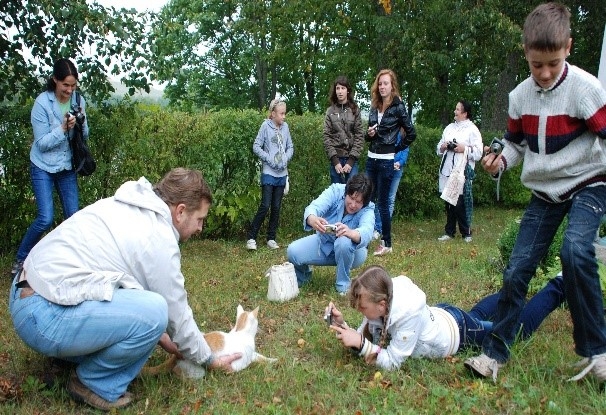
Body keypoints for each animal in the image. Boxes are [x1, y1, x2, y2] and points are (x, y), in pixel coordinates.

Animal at [144, 304, 276, 378]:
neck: (240, 330)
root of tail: (176, 355)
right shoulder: (250, 357)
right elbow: (262, 358)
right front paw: (274, 361)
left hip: (200, 334)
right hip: (197, 372)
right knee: (177, 372)